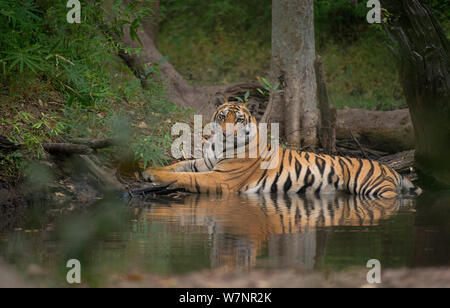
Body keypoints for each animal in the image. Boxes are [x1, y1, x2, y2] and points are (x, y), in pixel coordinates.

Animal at [144, 100, 422, 199]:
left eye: (239, 119)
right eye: (223, 116)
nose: (226, 132)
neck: (220, 146)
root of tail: (392, 170)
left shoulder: (221, 178)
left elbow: (186, 176)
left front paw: (154, 176)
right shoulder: (205, 163)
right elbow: (178, 165)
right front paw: (148, 169)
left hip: (374, 189)